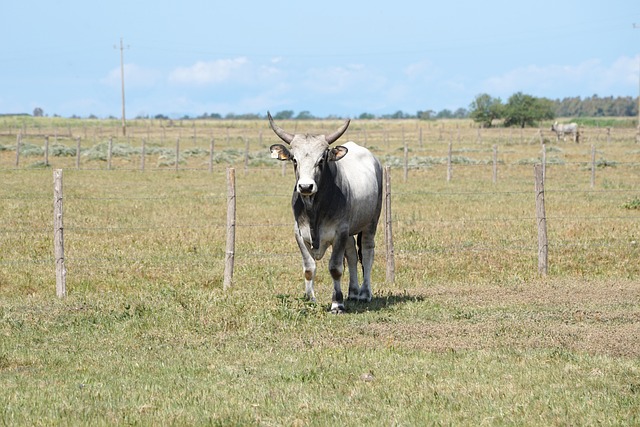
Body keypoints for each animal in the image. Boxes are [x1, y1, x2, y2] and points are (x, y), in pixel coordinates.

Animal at [268, 112, 382, 314]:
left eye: (321, 160)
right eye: (294, 160)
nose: (305, 186)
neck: (314, 210)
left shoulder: (340, 232)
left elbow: (335, 268)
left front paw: (337, 303)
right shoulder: (299, 233)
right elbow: (309, 267)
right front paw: (309, 298)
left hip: (371, 222)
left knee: (367, 252)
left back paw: (364, 293)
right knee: (352, 255)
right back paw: (353, 292)